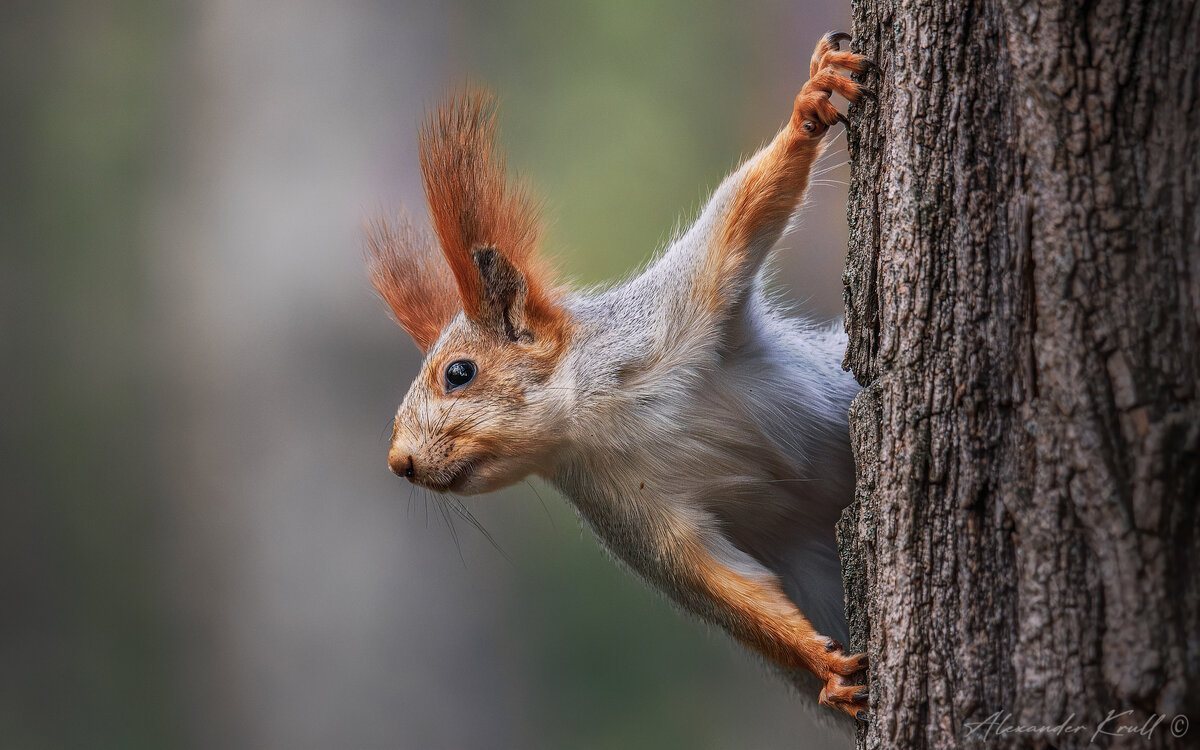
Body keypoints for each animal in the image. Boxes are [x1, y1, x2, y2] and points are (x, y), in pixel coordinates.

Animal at [364, 33, 873, 720]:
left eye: (459, 373)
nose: (400, 463)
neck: (594, 417)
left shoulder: (677, 307)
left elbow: (739, 213)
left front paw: (811, 103)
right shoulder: (635, 516)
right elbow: (726, 588)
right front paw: (824, 665)